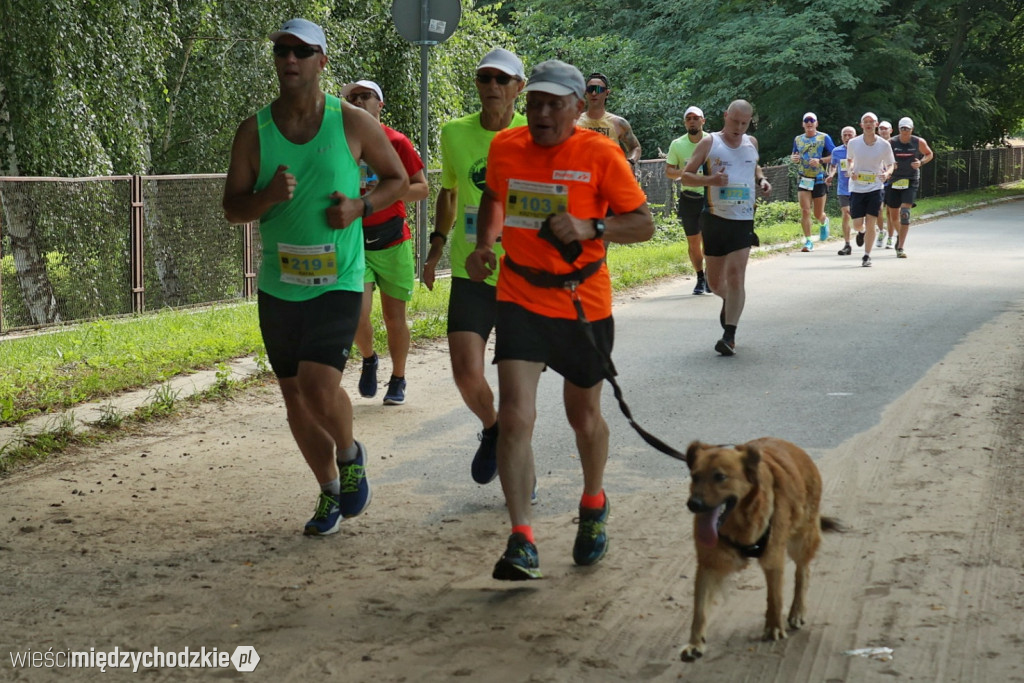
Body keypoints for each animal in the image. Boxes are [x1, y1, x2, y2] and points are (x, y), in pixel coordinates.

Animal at [679, 438, 839, 663]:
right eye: (695, 476)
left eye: (720, 477)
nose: (693, 504)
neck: (738, 523)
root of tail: (793, 446)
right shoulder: (709, 564)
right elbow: (699, 610)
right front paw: (695, 643)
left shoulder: (773, 559)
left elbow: (775, 597)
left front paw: (773, 628)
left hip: (801, 540)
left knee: (803, 571)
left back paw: (797, 610)